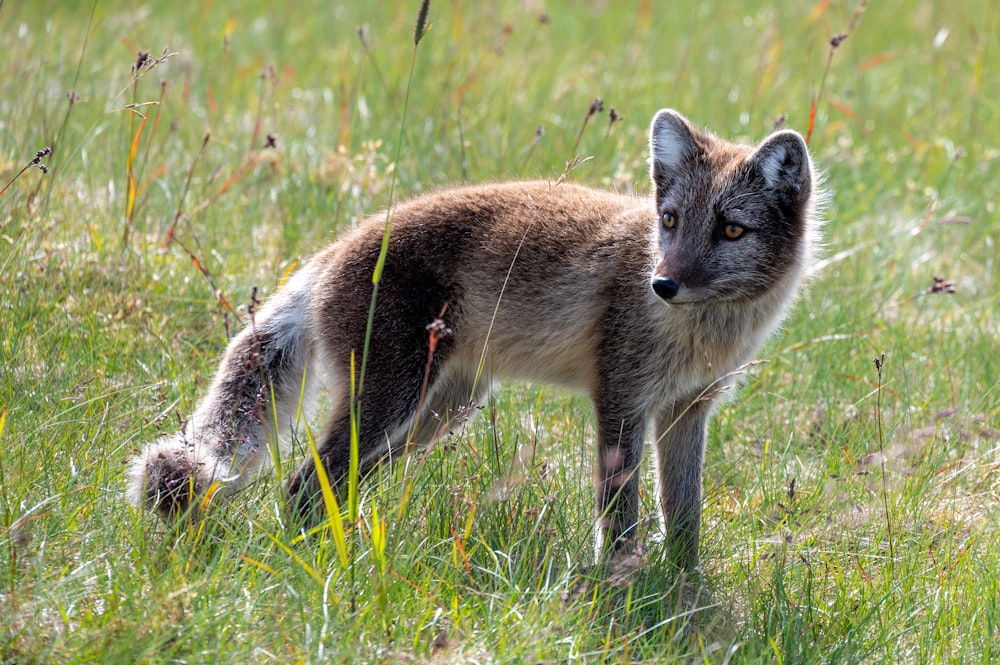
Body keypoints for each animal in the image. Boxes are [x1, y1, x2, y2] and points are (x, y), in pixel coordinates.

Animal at [127, 107, 820, 564]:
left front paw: (680, 591)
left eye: (730, 230)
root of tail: (334, 248)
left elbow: (684, 519)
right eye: (671, 221)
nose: (662, 284)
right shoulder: (621, 401)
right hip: (393, 405)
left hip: (432, 418)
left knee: (325, 486)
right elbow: (620, 518)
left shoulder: (687, 410)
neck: (706, 333)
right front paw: (624, 589)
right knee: (300, 486)